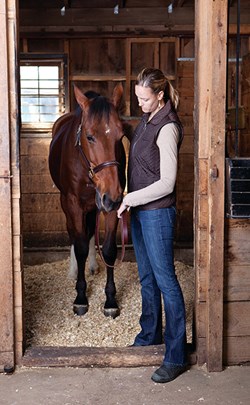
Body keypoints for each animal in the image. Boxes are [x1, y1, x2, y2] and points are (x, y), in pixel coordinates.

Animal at [48, 84, 126, 318]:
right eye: (90, 137)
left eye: (121, 135)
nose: (113, 195)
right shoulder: (74, 205)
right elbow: (80, 245)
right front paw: (81, 297)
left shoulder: (111, 206)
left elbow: (108, 249)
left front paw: (110, 300)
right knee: (76, 236)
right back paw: (75, 270)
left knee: (90, 232)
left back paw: (92, 266)